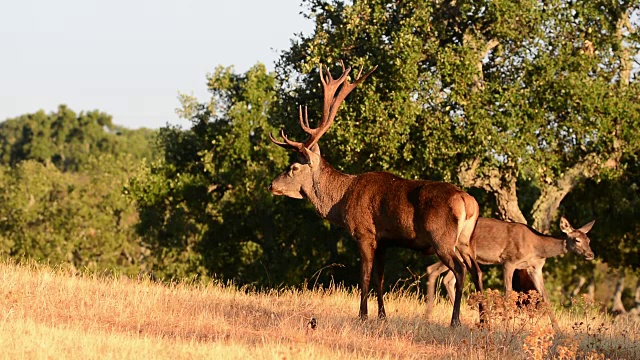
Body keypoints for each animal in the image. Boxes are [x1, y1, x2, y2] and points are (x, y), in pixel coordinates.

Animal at [268, 61, 482, 326]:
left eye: (294, 168)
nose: (272, 185)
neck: (341, 200)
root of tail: (467, 202)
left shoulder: (365, 233)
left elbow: (365, 278)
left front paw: (362, 315)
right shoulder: (384, 241)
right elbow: (380, 279)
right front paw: (382, 315)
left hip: (442, 237)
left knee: (460, 271)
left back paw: (455, 320)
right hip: (465, 239)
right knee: (477, 270)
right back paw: (484, 319)